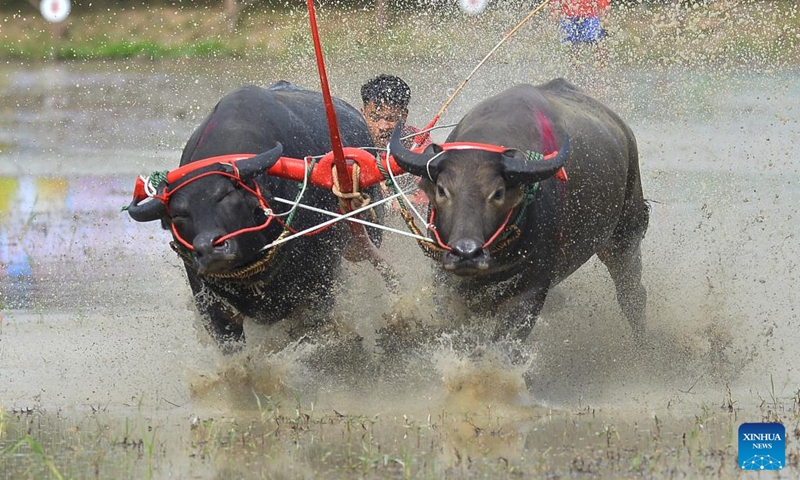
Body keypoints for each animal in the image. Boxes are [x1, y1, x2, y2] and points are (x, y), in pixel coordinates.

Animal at [390, 79, 649, 344]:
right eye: (442, 190)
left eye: (498, 193)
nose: (466, 252)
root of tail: (625, 132)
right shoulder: (446, 279)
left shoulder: (531, 289)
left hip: (625, 234)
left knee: (632, 294)